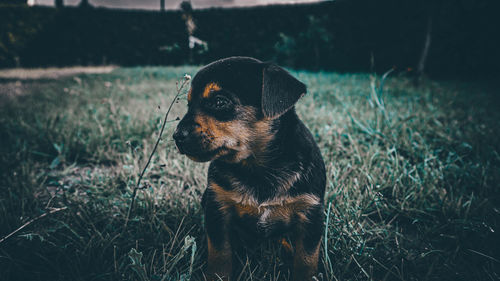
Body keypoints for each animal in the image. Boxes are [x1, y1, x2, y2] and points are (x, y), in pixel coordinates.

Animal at [174, 57, 326, 280]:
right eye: (188, 104)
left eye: (220, 102)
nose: (177, 136)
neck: (258, 169)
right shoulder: (217, 209)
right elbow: (220, 255)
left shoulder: (310, 214)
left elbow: (305, 261)